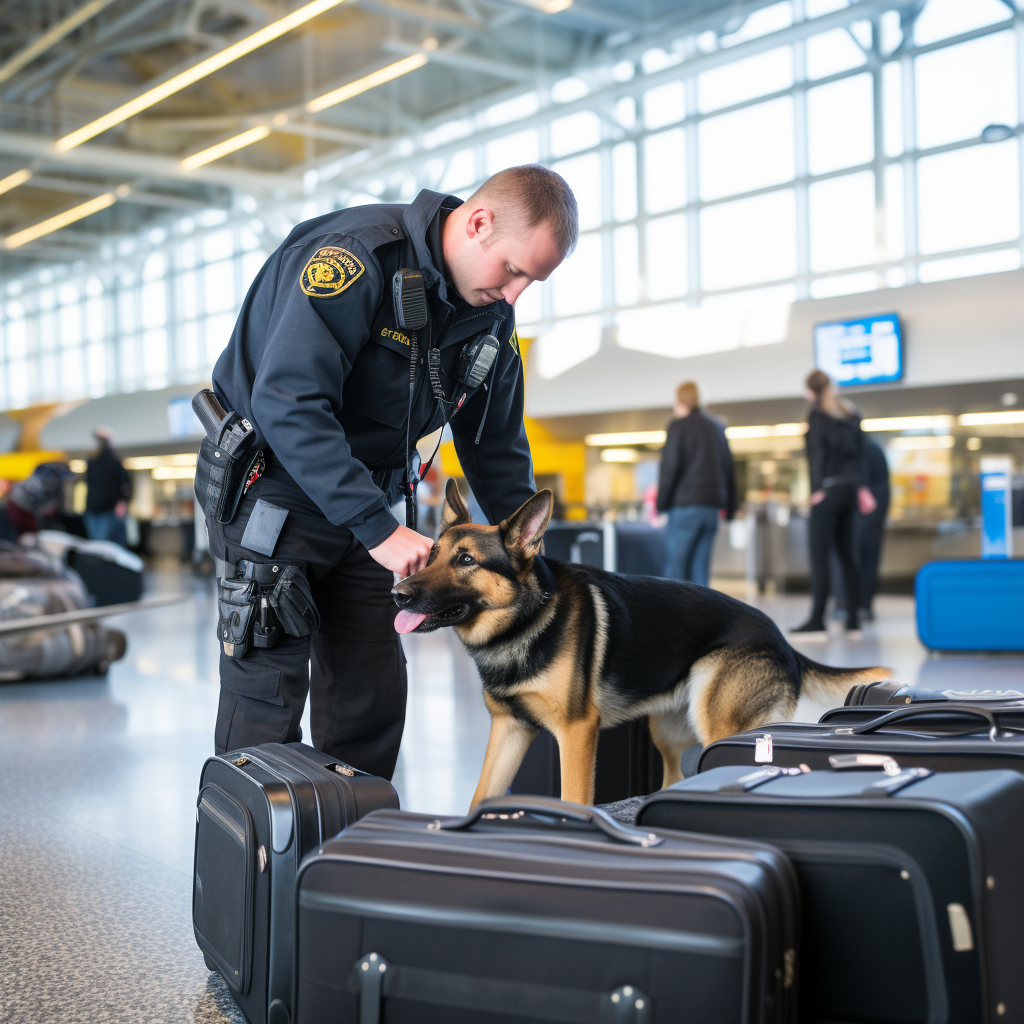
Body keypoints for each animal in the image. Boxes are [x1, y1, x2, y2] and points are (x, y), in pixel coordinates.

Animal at [391, 479, 888, 806]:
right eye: (430, 555)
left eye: (466, 561)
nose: (398, 593)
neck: (524, 619)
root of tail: (780, 636)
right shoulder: (509, 731)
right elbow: (480, 795)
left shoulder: (576, 734)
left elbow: (573, 798)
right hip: (666, 732)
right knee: (671, 779)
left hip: (719, 725)